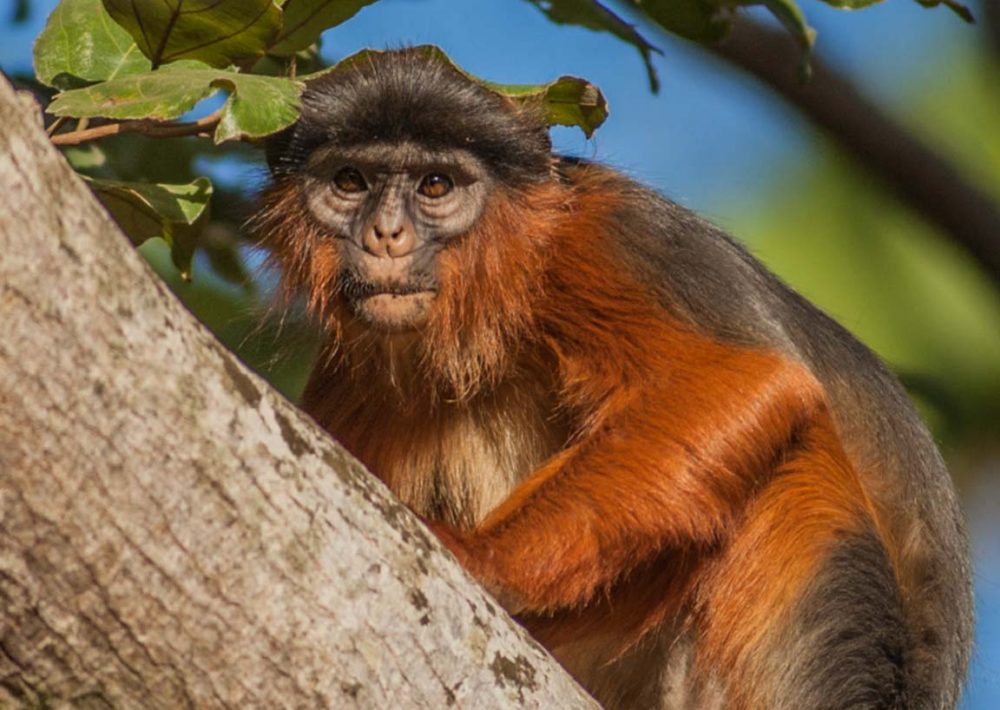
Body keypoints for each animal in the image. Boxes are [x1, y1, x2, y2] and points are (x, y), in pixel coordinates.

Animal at [256, 50, 968, 710]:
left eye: (435, 185)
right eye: (351, 181)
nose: (386, 234)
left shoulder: (614, 236)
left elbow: (752, 381)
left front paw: (482, 563)